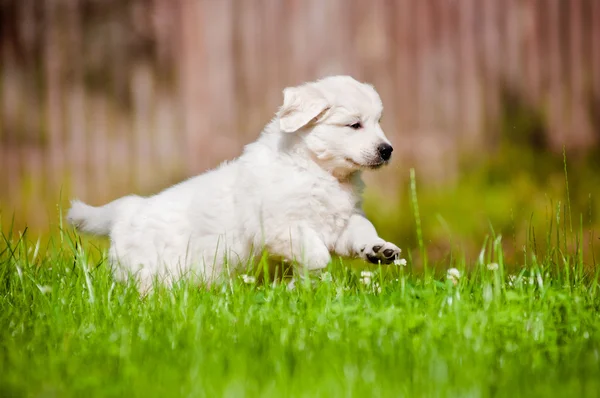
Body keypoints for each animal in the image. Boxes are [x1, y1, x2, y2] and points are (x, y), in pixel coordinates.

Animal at [67, 74, 398, 290]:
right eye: (354, 125)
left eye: (378, 122)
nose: (387, 150)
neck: (319, 171)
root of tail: (126, 211)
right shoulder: (280, 226)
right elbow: (317, 255)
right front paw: (301, 286)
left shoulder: (341, 219)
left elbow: (361, 230)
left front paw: (379, 249)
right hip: (148, 271)